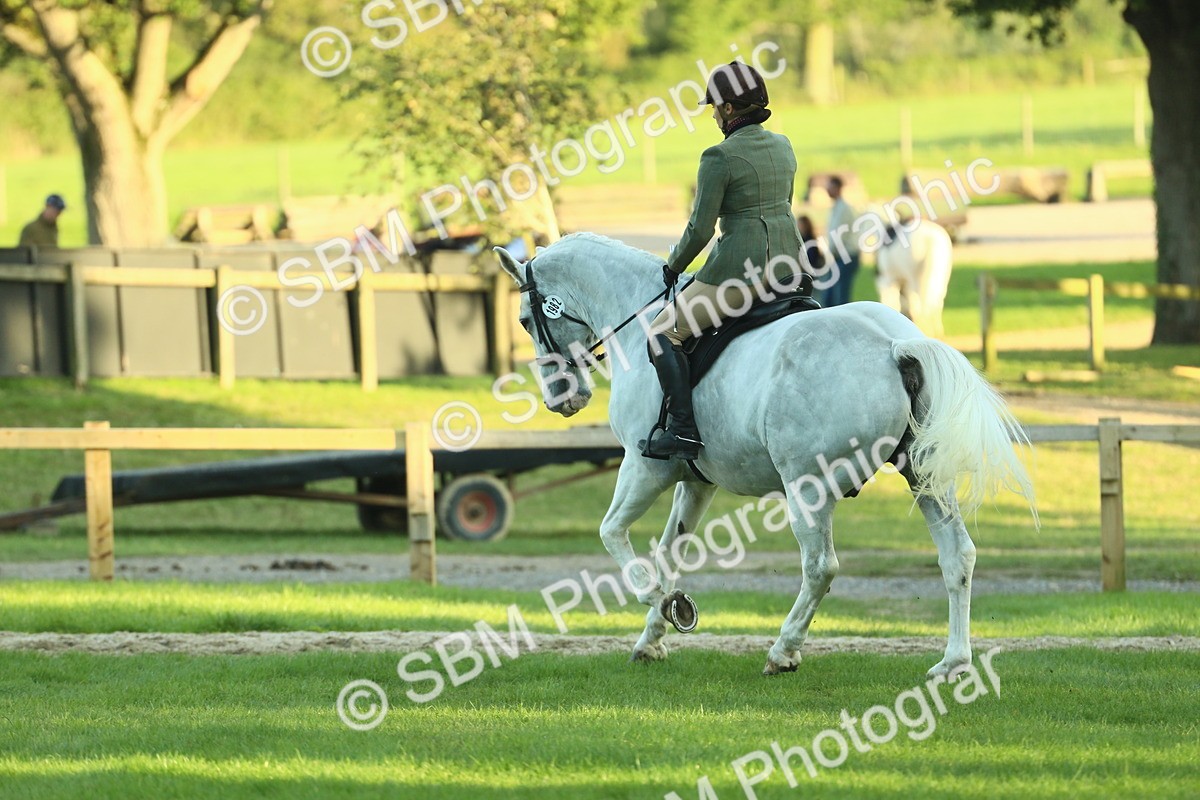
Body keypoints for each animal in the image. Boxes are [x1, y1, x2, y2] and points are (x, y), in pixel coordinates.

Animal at [493, 232, 1034, 678]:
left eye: (523, 320)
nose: (560, 400)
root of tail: (895, 343)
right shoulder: (695, 481)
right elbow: (670, 552)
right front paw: (653, 635)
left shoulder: (644, 466)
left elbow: (612, 533)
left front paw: (662, 601)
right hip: (923, 477)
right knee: (957, 556)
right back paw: (953, 662)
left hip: (807, 487)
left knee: (820, 567)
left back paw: (784, 651)